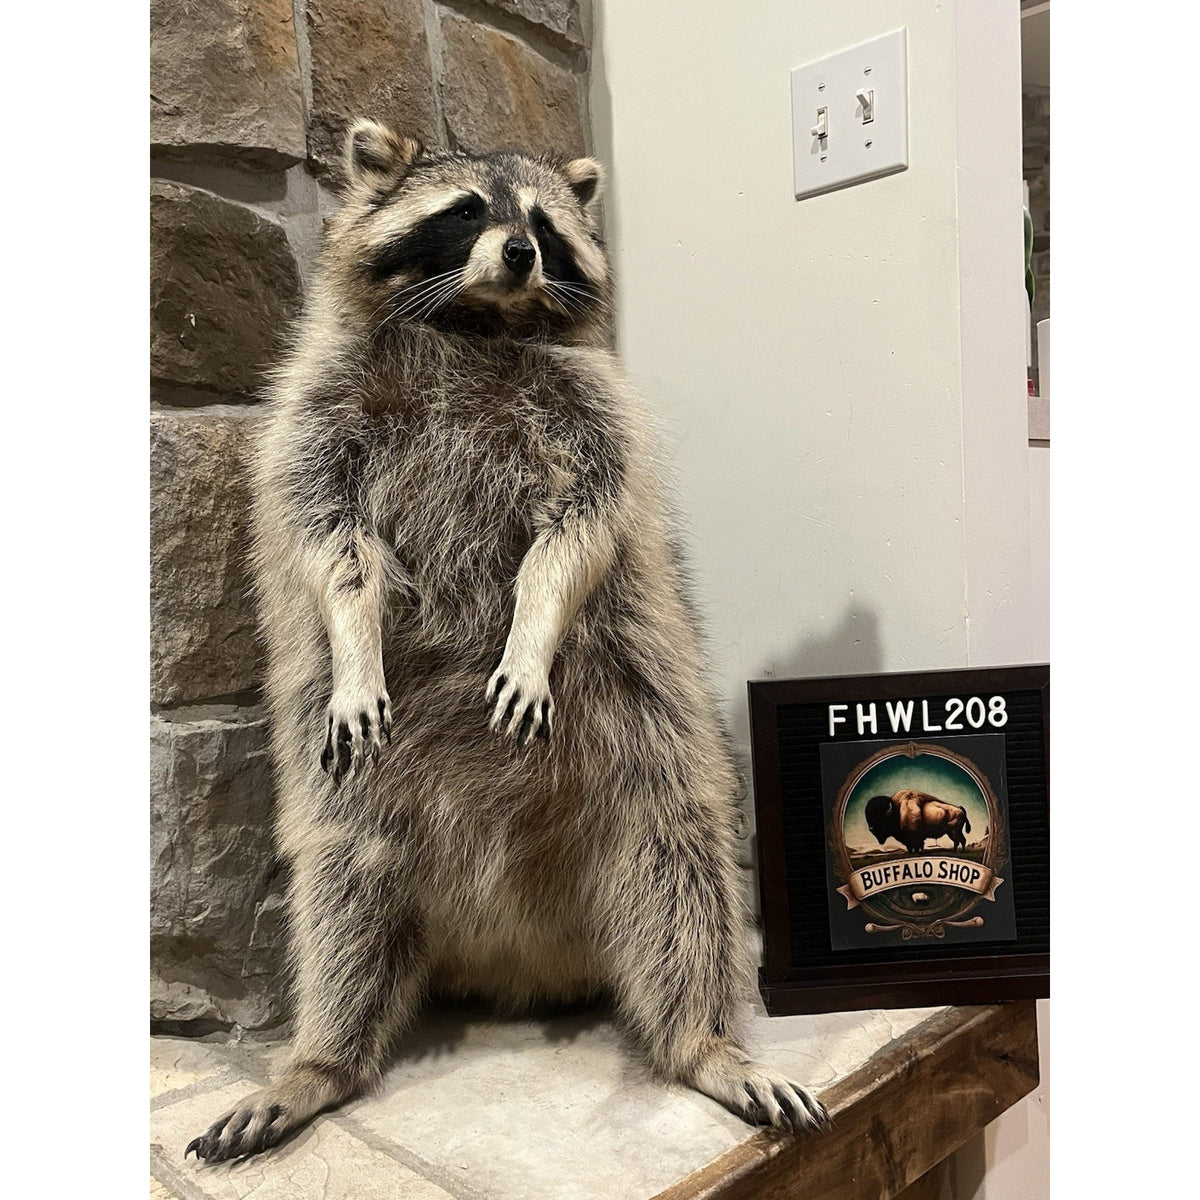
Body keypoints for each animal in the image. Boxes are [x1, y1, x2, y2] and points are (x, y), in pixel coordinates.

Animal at [185, 120, 828, 1163]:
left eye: (542, 223)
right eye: (467, 212)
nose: (520, 252)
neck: (475, 322)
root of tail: (516, 957)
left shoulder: (595, 411)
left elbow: (578, 535)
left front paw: (531, 628)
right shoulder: (313, 416)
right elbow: (333, 545)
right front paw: (355, 641)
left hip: (650, 733)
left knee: (683, 863)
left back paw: (703, 1041)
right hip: (353, 802)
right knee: (342, 888)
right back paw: (322, 1058)